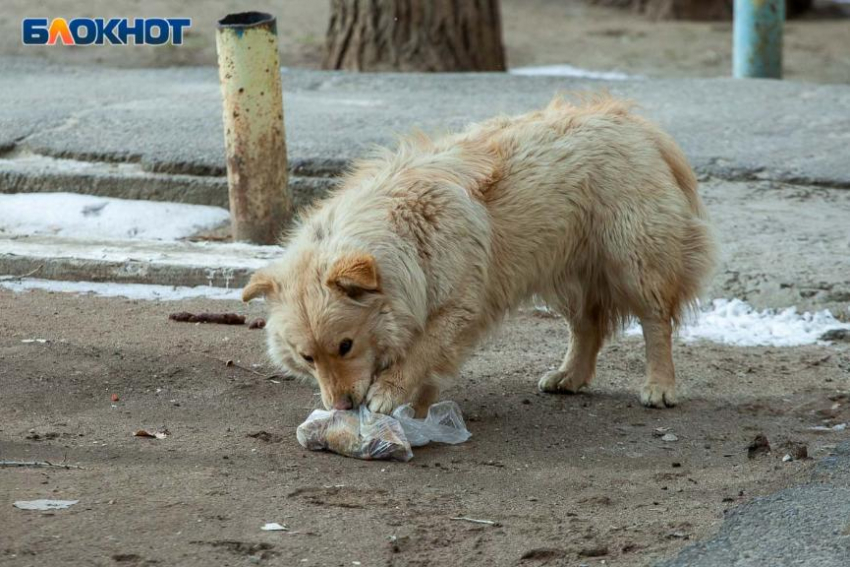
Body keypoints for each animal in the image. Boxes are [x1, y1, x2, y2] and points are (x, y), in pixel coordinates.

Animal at [242, 95, 712, 418]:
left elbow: (422, 350)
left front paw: (391, 393)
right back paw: (570, 376)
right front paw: (418, 407)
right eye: (308, 358)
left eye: (345, 346)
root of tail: (634, 123)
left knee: (655, 322)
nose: (340, 407)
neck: (407, 242)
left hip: (635, 261)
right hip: (563, 270)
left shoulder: (459, 306)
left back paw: (659, 385)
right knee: (587, 327)